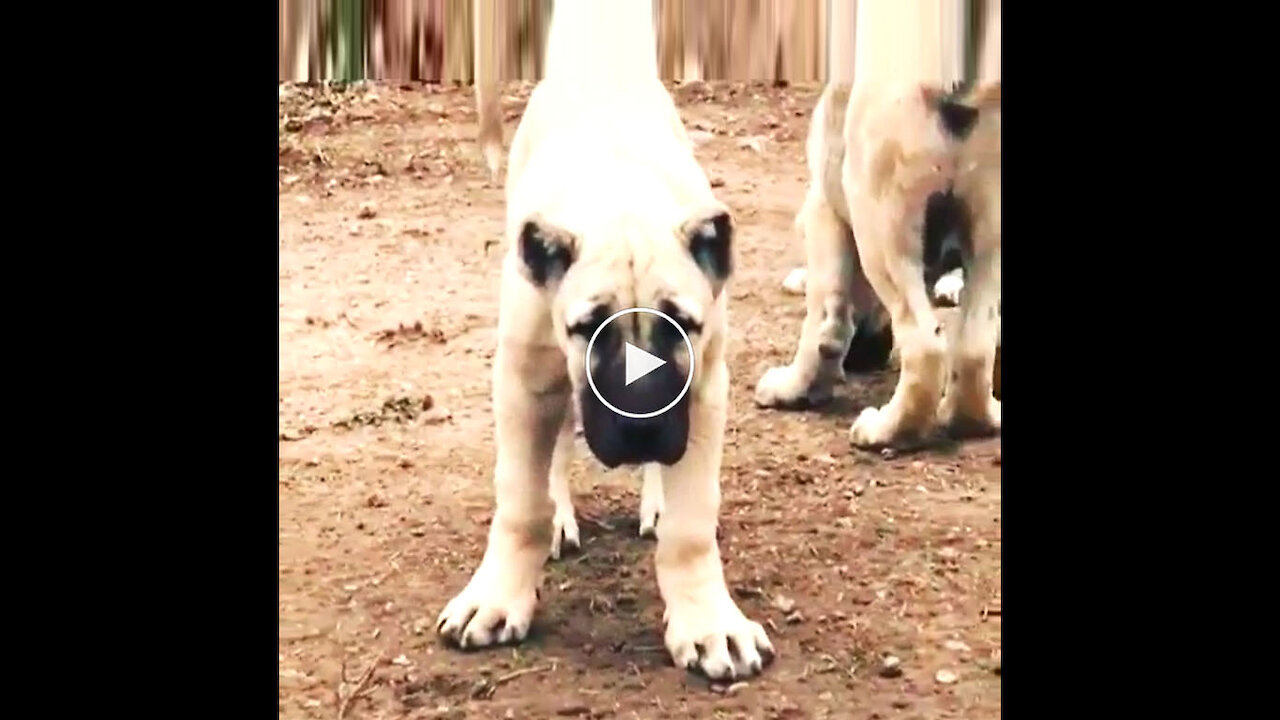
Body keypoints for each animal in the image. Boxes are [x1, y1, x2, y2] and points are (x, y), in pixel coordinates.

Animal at [440, 0, 768, 676]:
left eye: (682, 326)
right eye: (589, 328)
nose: (641, 430)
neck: (621, 196)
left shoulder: (706, 386)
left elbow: (693, 523)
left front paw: (708, 621)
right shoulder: (524, 379)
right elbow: (521, 501)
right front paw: (498, 595)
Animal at [752, 0, 1003, 445]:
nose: (867, 355)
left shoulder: (825, 208)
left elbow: (824, 321)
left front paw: (794, 388)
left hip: (882, 222)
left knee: (924, 345)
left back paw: (888, 430)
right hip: (989, 230)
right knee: (974, 345)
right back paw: (973, 418)